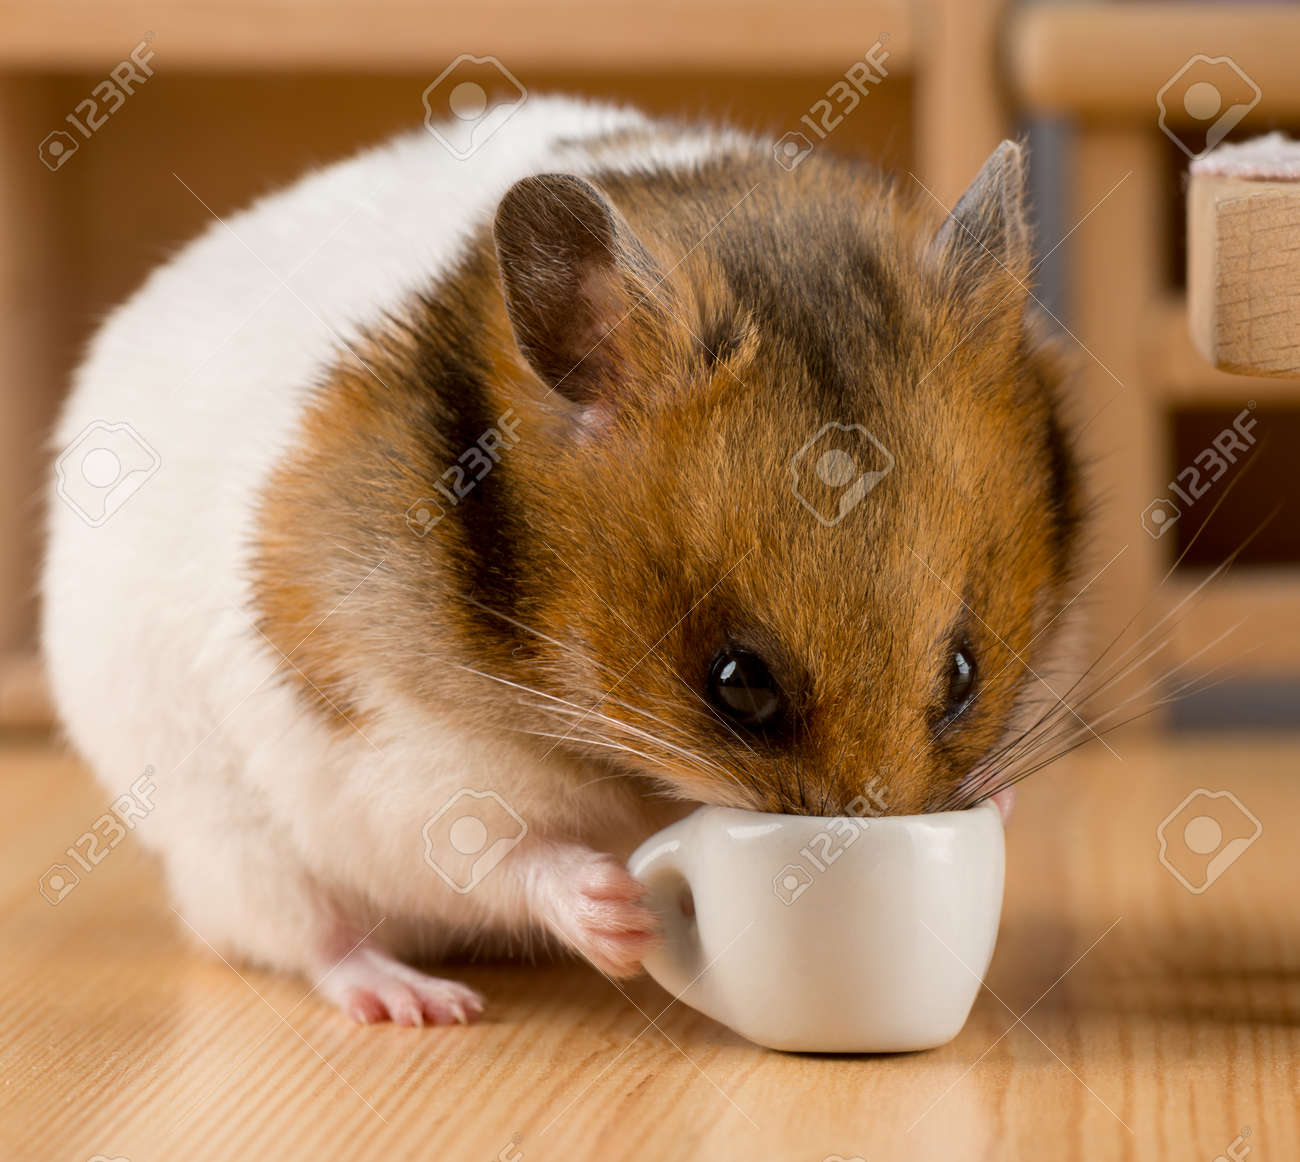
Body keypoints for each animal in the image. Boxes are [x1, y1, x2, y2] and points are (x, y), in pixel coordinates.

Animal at [42, 97, 1081, 1025]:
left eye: (963, 673)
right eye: (738, 684)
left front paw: (1003, 803)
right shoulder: (385, 744)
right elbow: (488, 849)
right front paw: (619, 912)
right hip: (233, 853)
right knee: (313, 938)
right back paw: (418, 1001)